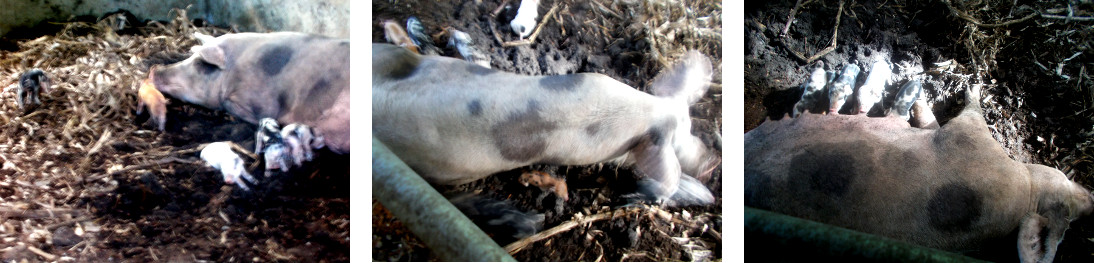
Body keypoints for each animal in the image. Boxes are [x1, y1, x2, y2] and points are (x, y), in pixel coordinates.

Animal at [743, 82, 1094, 263]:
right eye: (1067, 217)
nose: (1091, 199)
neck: (1026, 191)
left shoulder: (970, 139)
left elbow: (962, 116)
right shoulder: (968, 139)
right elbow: (947, 119)